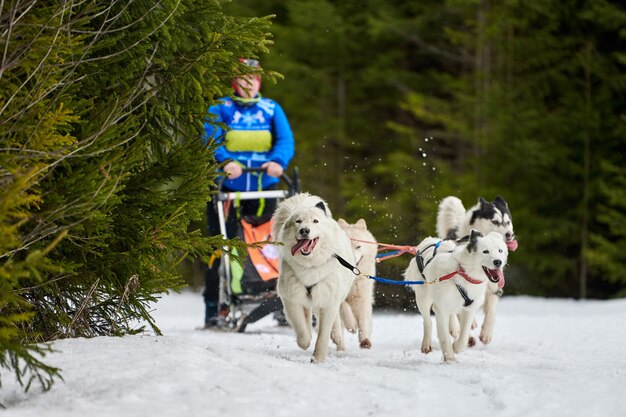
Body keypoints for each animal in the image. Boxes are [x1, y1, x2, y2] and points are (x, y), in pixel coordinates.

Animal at [270, 192, 354, 360]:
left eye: (315, 221)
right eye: (298, 221)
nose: (304, 230)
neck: (310, 266)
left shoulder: (328, 300)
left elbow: (323, 334)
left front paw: (318, 359)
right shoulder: (292, 298)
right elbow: (302, 328)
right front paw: (305, 342)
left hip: (330, 296)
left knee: (335, 319)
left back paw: (337, 338)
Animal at [336, 218, 376, 348]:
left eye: (358, 246)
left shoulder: (362, 298)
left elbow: (363, 321)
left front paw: (365, 341)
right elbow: (344, 306)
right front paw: (352, 325)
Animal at [404, 231, 508, 360]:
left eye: (500, 250)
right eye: (485, 251)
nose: (498, 262)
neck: (463, 272)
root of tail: (428, 241)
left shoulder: (469, 309)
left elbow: (464, 336)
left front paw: (456, 347)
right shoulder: (441, 309)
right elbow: (444, 338)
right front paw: (450, 359)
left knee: (452, 314)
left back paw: (453, 328)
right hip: (423, 298)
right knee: (427, 322)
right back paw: (427, 344)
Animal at [434, 195, 516, 344]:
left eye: (508, 222)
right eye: (495, 221)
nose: (509, 234)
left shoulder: (493, 288)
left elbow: (491, 312)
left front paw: (486, 333)